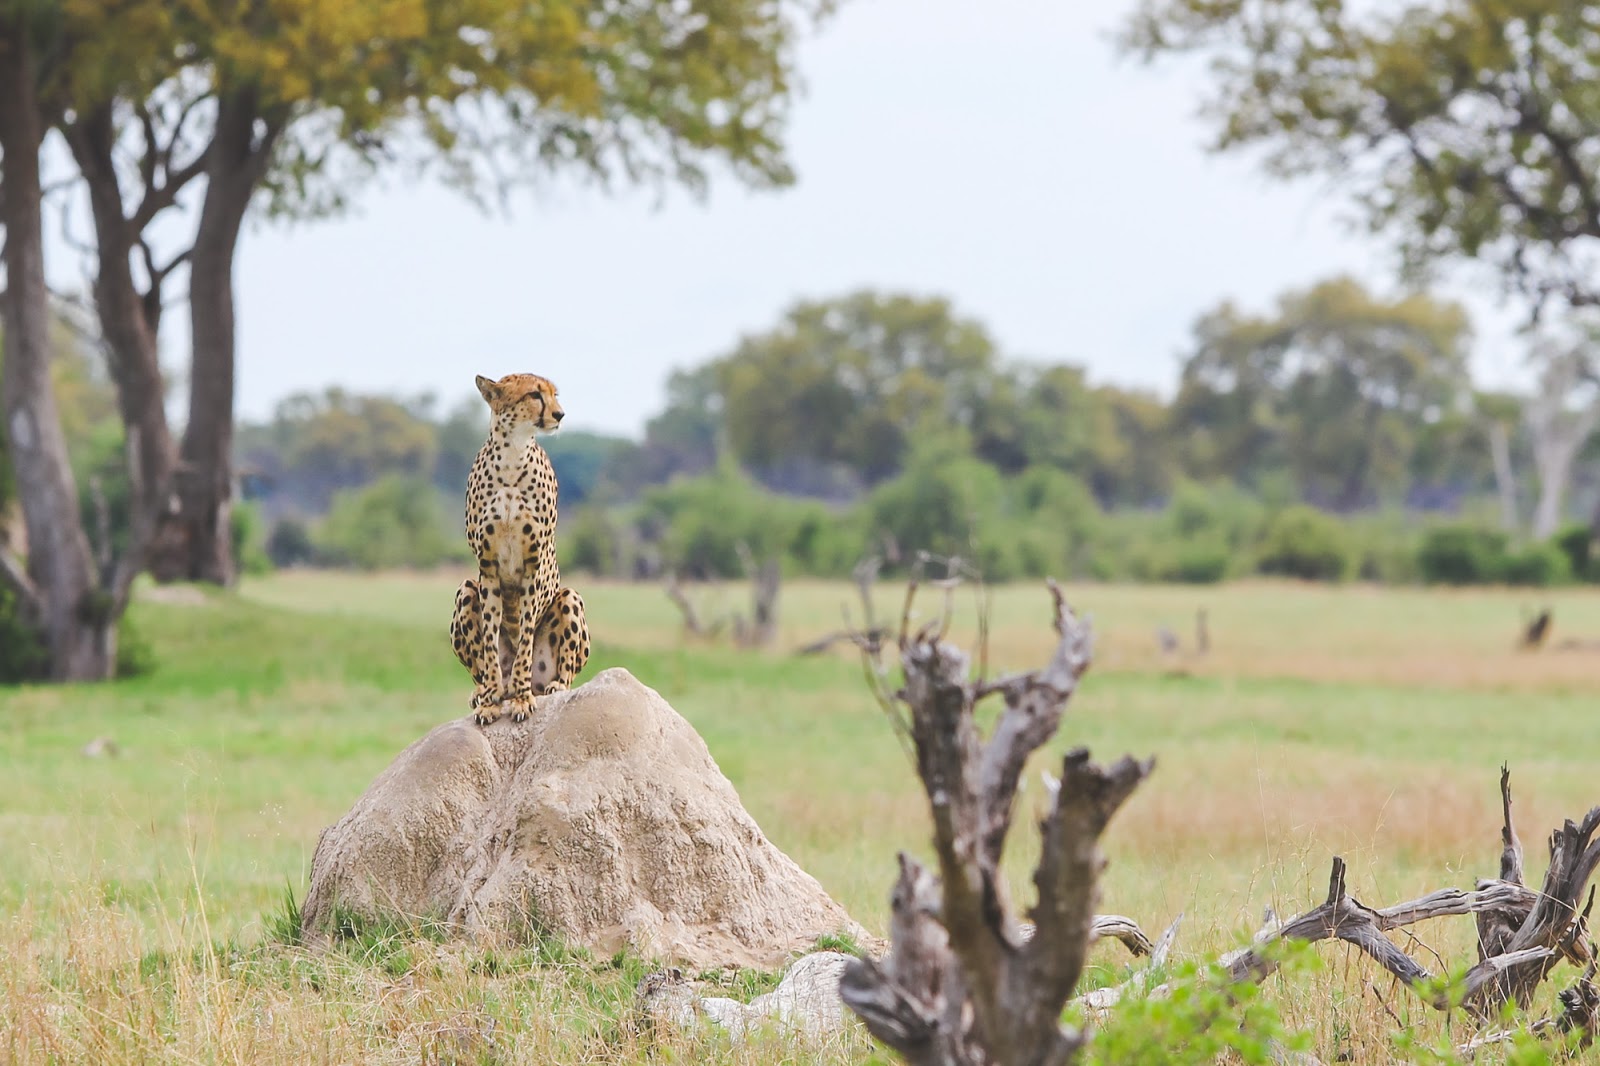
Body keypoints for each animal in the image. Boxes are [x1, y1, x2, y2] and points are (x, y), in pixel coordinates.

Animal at [448, 369, 592, 717]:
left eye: (554, 395)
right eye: (534, 395)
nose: (560, 414)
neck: (513, 455)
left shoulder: (532, 565)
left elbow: (525, 637)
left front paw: (523, 698)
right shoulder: (487, 569)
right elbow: (489, 639)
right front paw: (489, 703)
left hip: (569, 597)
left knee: (565, 674)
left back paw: (548, 686)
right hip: (466, 590)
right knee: (481, 666)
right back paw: (486, 691)